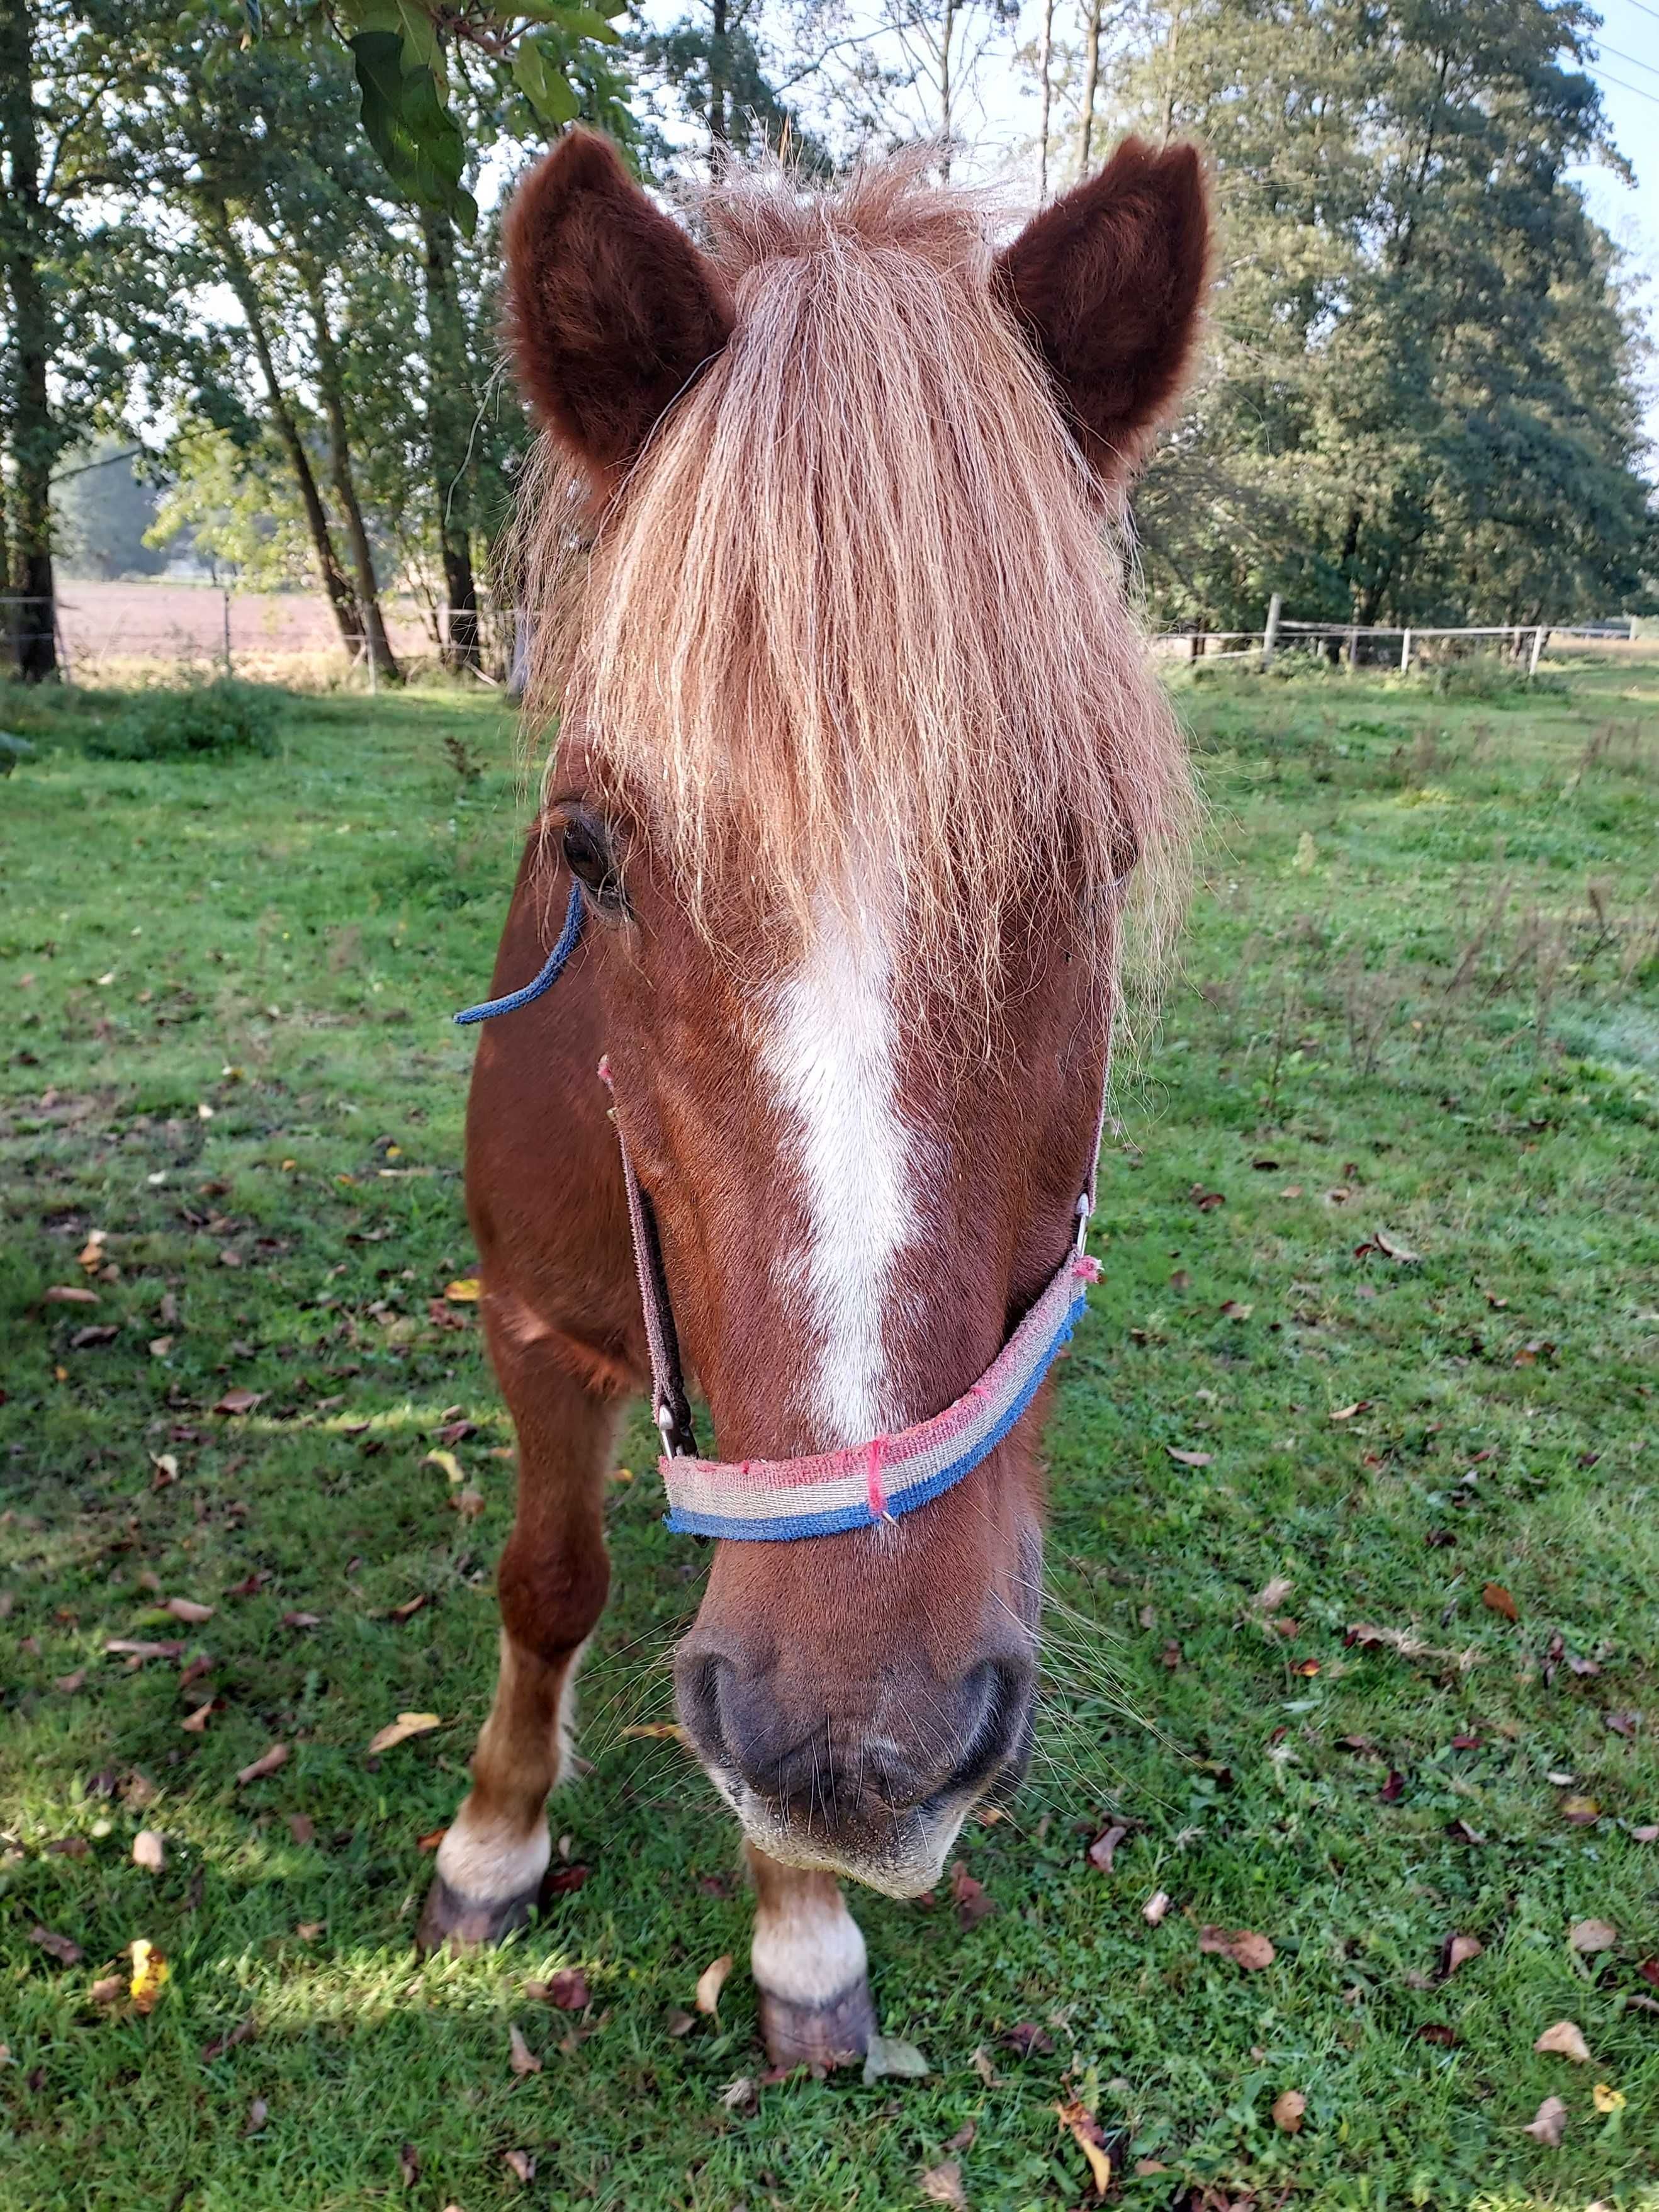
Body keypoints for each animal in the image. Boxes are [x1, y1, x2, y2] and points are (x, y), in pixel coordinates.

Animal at [422, 129, 1212, 2062]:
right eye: (591, 854)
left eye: (1099, 854)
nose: (861, 1753)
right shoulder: (531, 1323)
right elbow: (548, 1583)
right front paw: (492, 1842)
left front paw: (797, 1930)